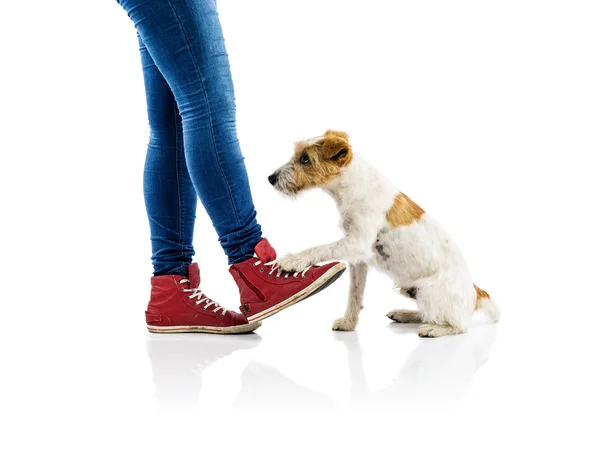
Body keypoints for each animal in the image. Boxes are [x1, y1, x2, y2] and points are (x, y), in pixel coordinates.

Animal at [270, 130, 500, 336]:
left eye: (305, 159)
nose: (270, 178)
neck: (352, 187)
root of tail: (477, 294)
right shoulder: (359, 260)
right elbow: (355, 294)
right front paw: (348, 323)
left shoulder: (356, 242)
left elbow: (319, 248)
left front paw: (293, 260)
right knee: (428, 314)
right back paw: (404, 314)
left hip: (428, 291)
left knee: (457, 326)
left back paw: (433, 329)